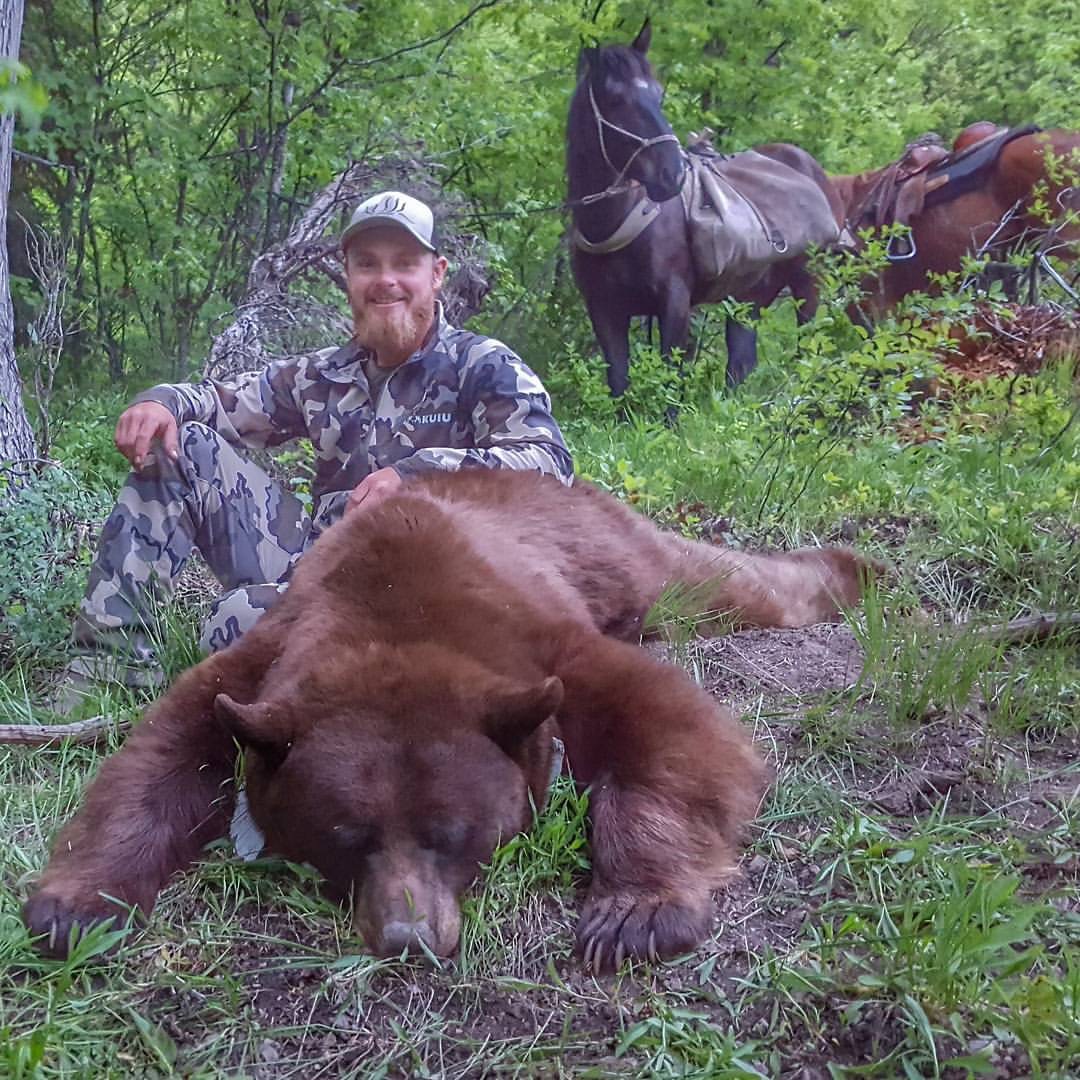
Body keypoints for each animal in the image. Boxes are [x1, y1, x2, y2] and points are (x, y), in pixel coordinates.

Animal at [24, 470, 873, 969]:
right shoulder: (264, 661)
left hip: (605, 550)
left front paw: (635, 914)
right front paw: (72, 907)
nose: (410, 940)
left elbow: (676, 726)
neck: (396, 615)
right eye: (345, 836)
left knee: (714, 583)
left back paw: (851, 569)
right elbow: (158, 754)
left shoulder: (540, 644)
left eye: (453, 833)